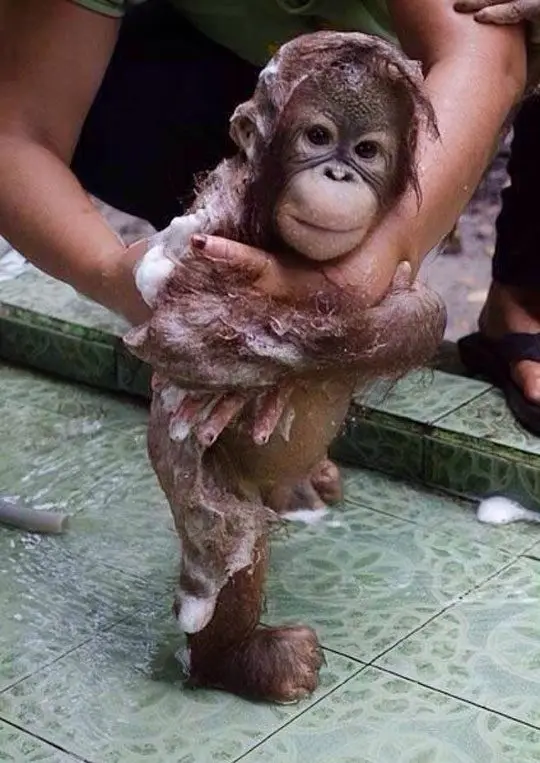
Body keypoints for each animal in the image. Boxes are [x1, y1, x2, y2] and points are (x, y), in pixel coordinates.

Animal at [124, 31, 447, 704]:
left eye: (367, 150)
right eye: (318, 137)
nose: (338, 171)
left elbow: (415, 308)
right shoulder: (214, 222)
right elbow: (182, 326)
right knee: (230, 545)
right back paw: (241, 660)